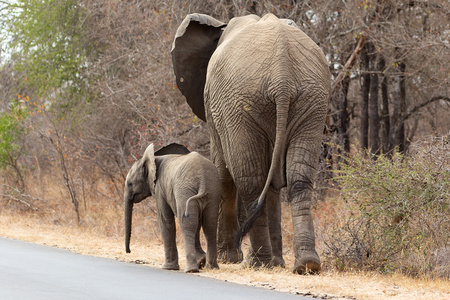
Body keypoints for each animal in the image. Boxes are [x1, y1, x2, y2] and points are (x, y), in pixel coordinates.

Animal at [124, 143, 221, 272]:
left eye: (130, 184)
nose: (129, 251)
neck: (154, 158)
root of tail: (203, 179)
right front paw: (201, 260)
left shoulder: (160, 188)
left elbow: (165, 220)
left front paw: (167, 268)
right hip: (213, 191)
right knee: (209, 225)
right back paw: (211, 267)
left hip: (185, 191)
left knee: (187, 224)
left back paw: (191, 270)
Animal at [171, 12, 330, 274]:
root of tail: (282, 76)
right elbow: (273, 182)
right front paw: (278, 263)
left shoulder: (217, 110)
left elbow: (222, 174)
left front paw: (228, 259)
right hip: (311, 101)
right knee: (299, 179)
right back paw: (306, 265)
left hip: (241, 105)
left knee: (250, 182)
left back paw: (257, 262)